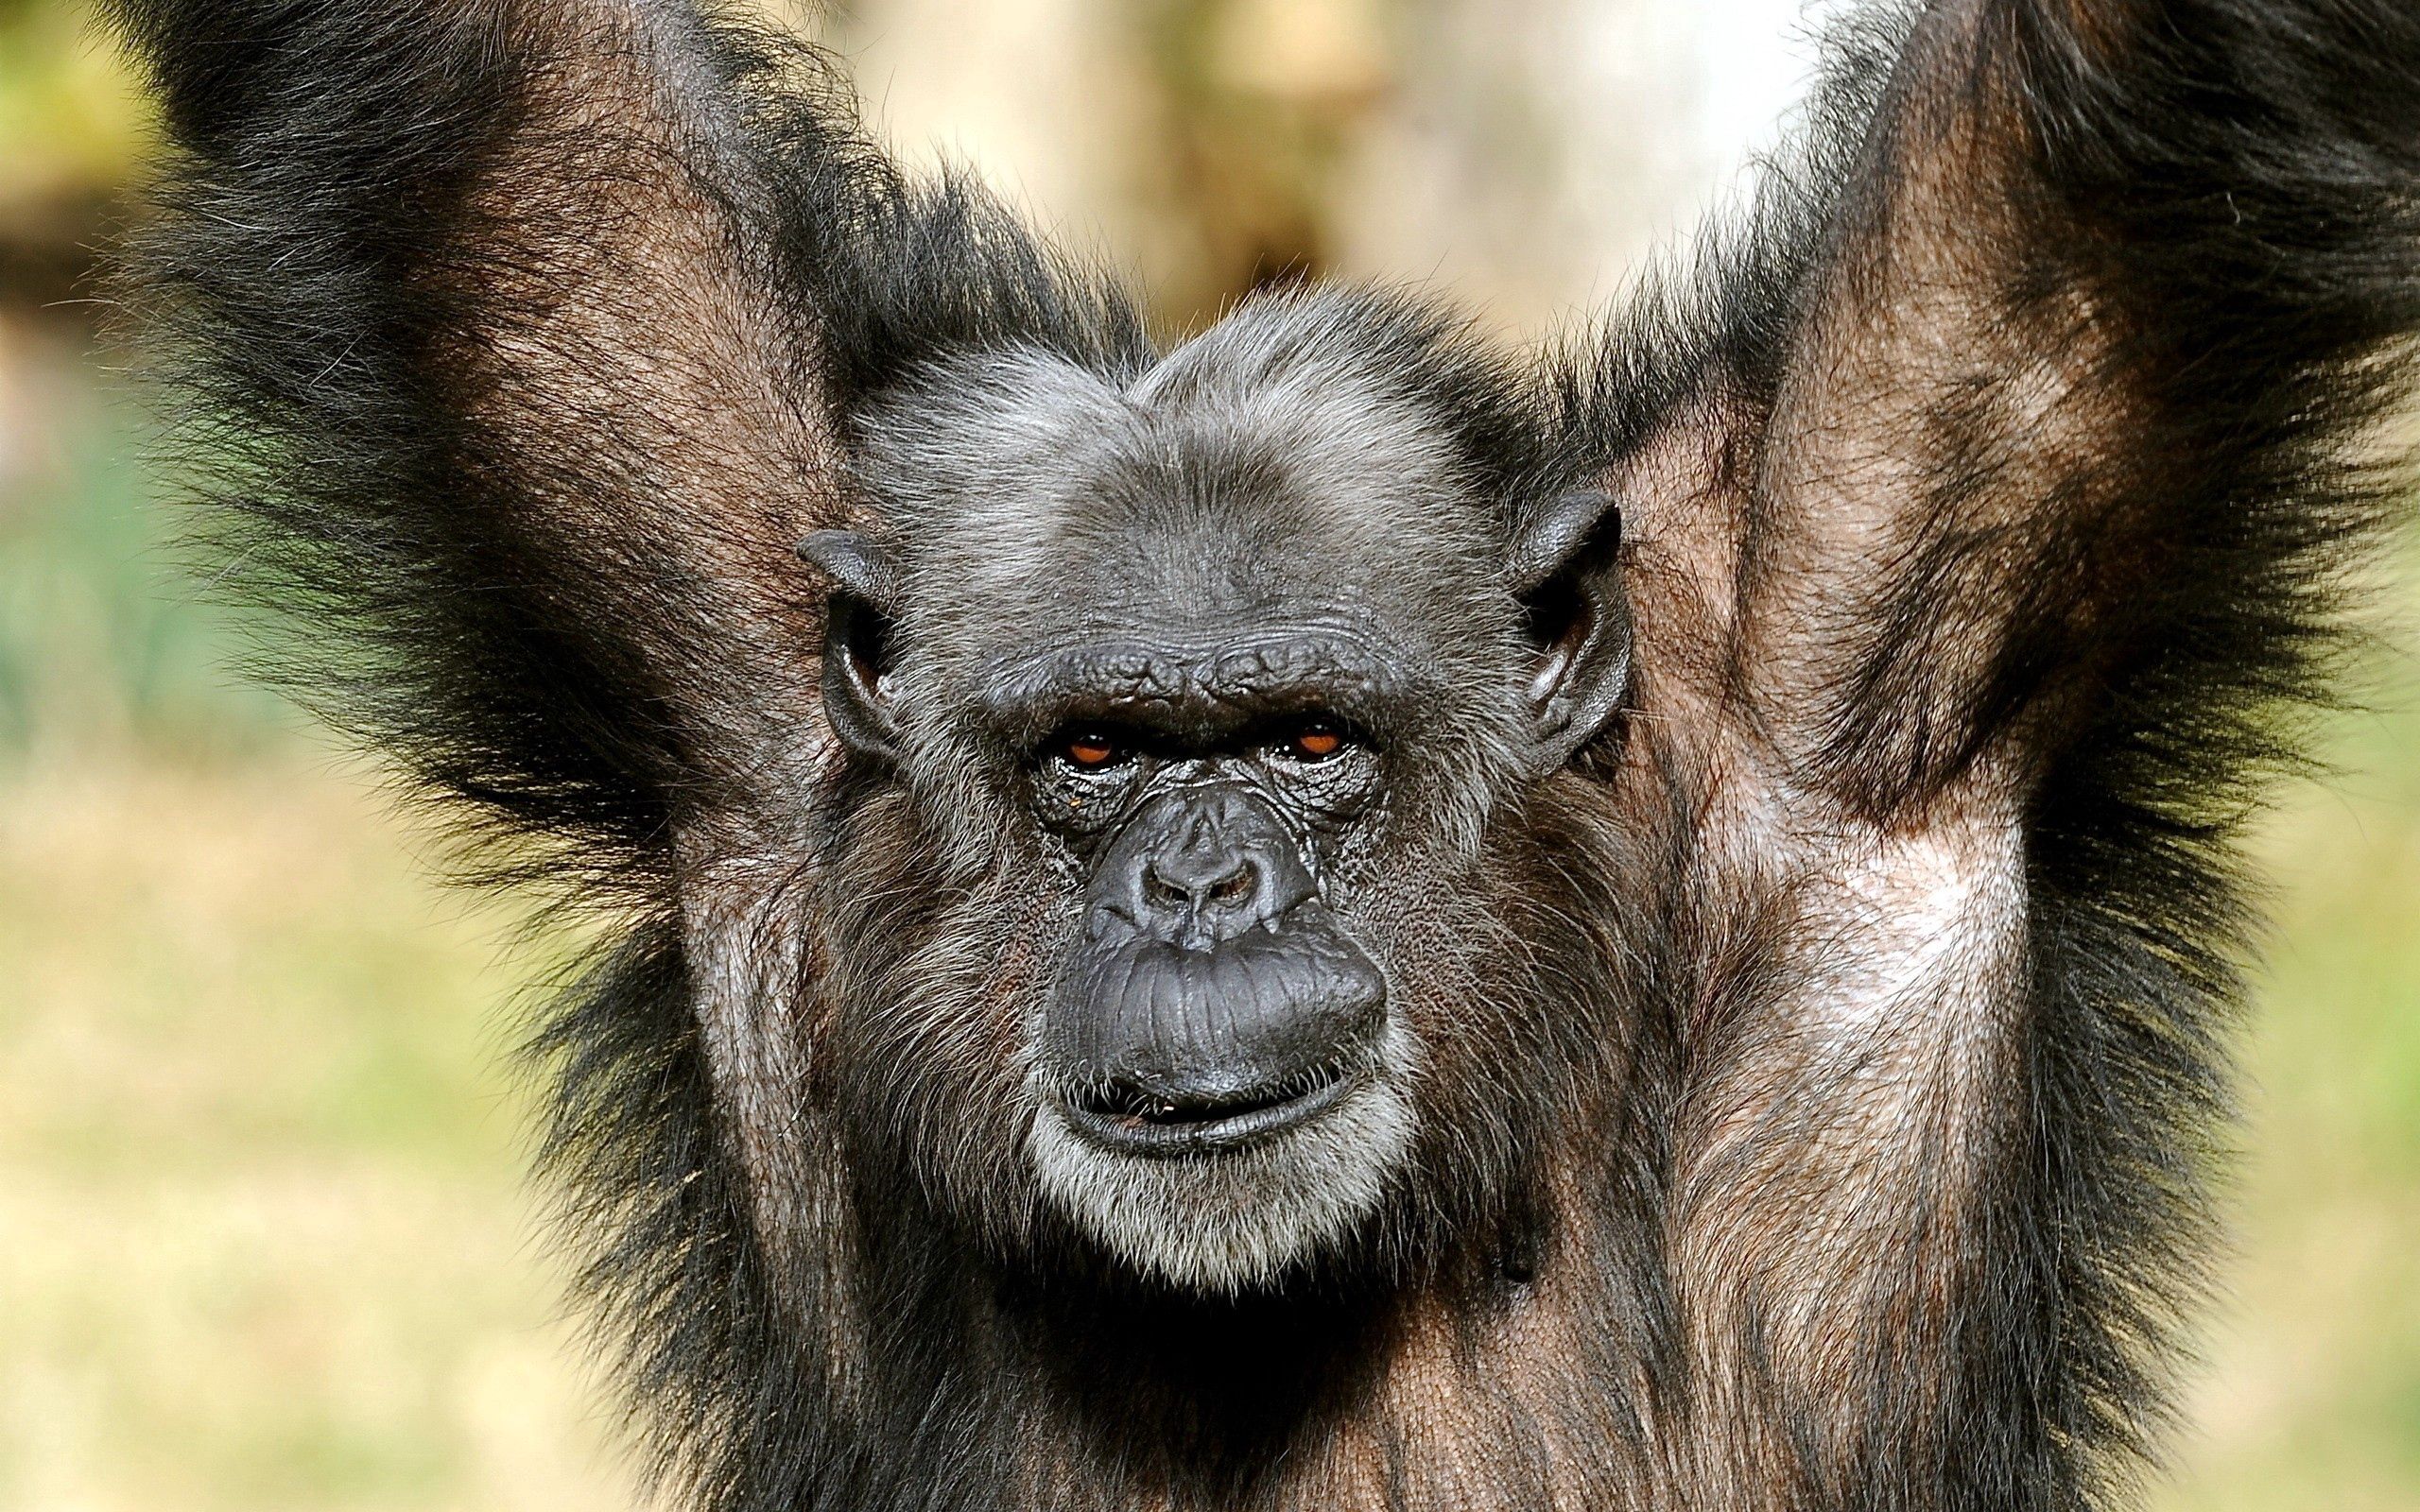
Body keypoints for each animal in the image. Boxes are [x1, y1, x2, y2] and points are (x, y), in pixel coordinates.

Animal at [104, 0, 2420, 1500]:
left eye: (1306, 735)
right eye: (1095, 755)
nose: (1200, 888)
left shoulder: (1865, 626)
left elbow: (2064, 155)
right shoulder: (729, 637)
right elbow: (515, 132)